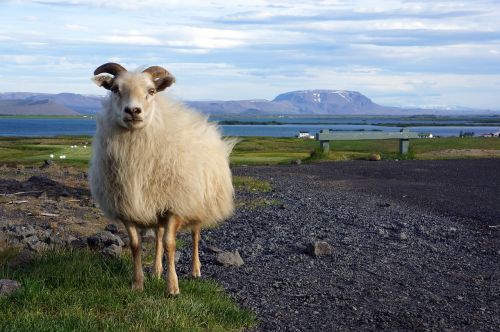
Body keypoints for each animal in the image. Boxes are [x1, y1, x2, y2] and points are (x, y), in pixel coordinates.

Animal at [90, 63, 236, 296]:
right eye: (115, 89)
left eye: (151, 91)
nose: (133, 111)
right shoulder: (127, 208)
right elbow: (136, 244)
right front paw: (138, 284)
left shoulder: (175, 205)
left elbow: (170, 244)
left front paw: (173, 288)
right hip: (156, 202)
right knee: (158, 234)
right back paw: (157, 270)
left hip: (196, 202)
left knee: (195, 235)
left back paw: (195, 270)